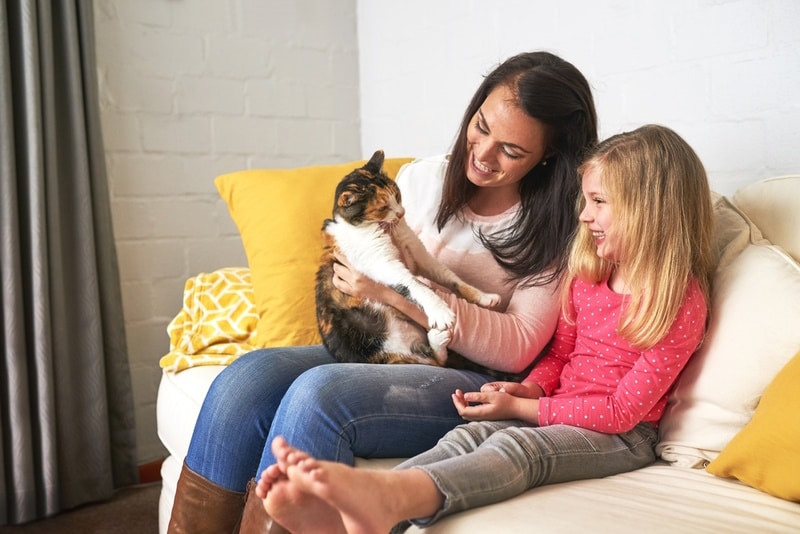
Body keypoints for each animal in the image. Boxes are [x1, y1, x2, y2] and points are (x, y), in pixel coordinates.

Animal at [314, 151, 496, 368]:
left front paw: (484, 296)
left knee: (435, 360)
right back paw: (437, 338)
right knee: (430, 360)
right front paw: (441, 312)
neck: (384, 228)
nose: (402, 213)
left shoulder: (419, 254)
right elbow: (415, 284)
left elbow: (449, 276)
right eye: (383, 207)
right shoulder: (381, 263)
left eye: (397, 195)